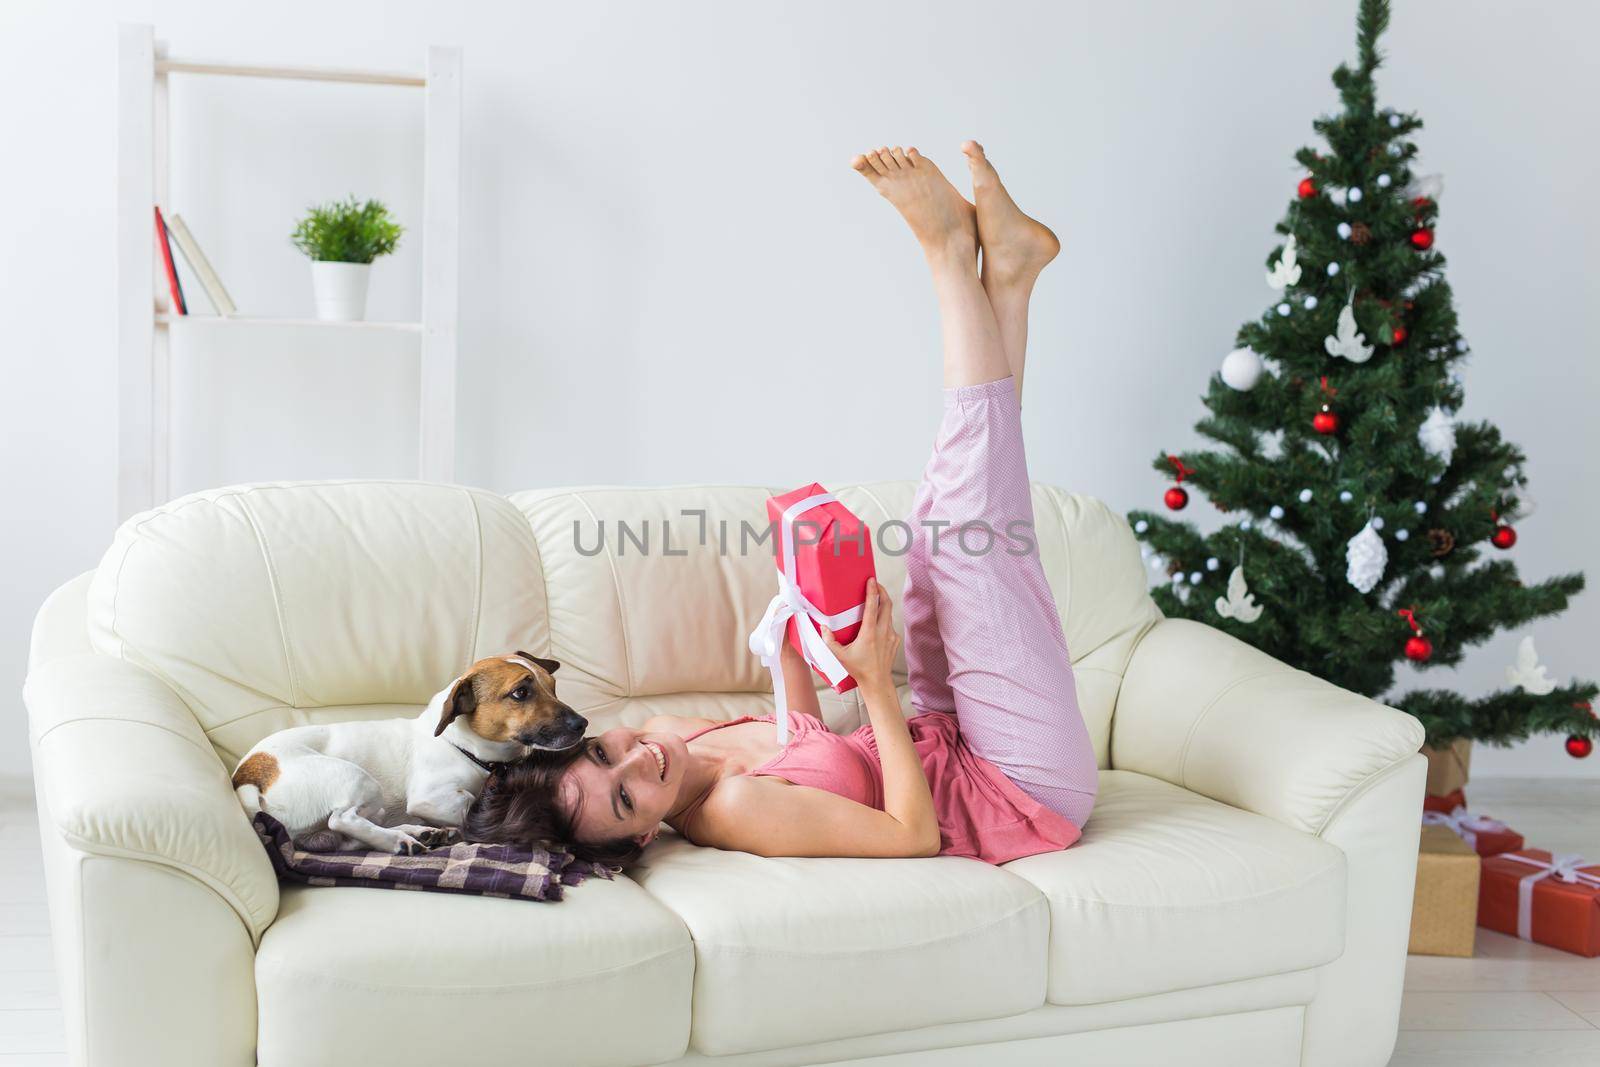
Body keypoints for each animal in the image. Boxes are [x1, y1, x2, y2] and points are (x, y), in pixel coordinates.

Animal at [232, 652, 588, 851]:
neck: (461, 746)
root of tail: (248, 774)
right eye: (520, 693)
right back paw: (400, 841)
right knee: (342, 819)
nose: (582, 724)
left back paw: (417, 832)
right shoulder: (429, 797)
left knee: (348, 834)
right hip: (360, 780)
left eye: (553, 687)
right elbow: (471, 803)